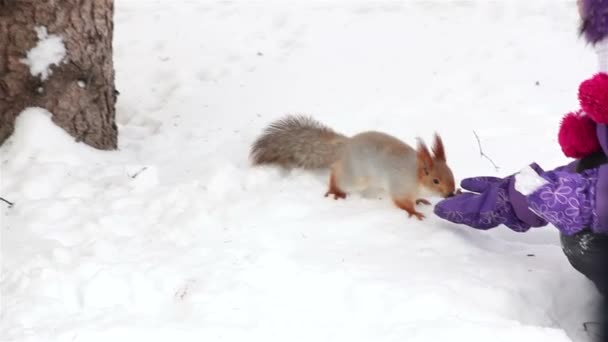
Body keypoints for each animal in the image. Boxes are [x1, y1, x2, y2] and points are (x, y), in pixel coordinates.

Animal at [248, 115, 456, 220]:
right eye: (435, 180)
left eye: (451, 174)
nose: (451, 194)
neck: (415, 176)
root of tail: (346, 145)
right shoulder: (399, 186)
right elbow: (401, 203)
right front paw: (414, 212)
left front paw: (420, 200)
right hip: (356, 177)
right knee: (336, 174)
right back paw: (335, 191)